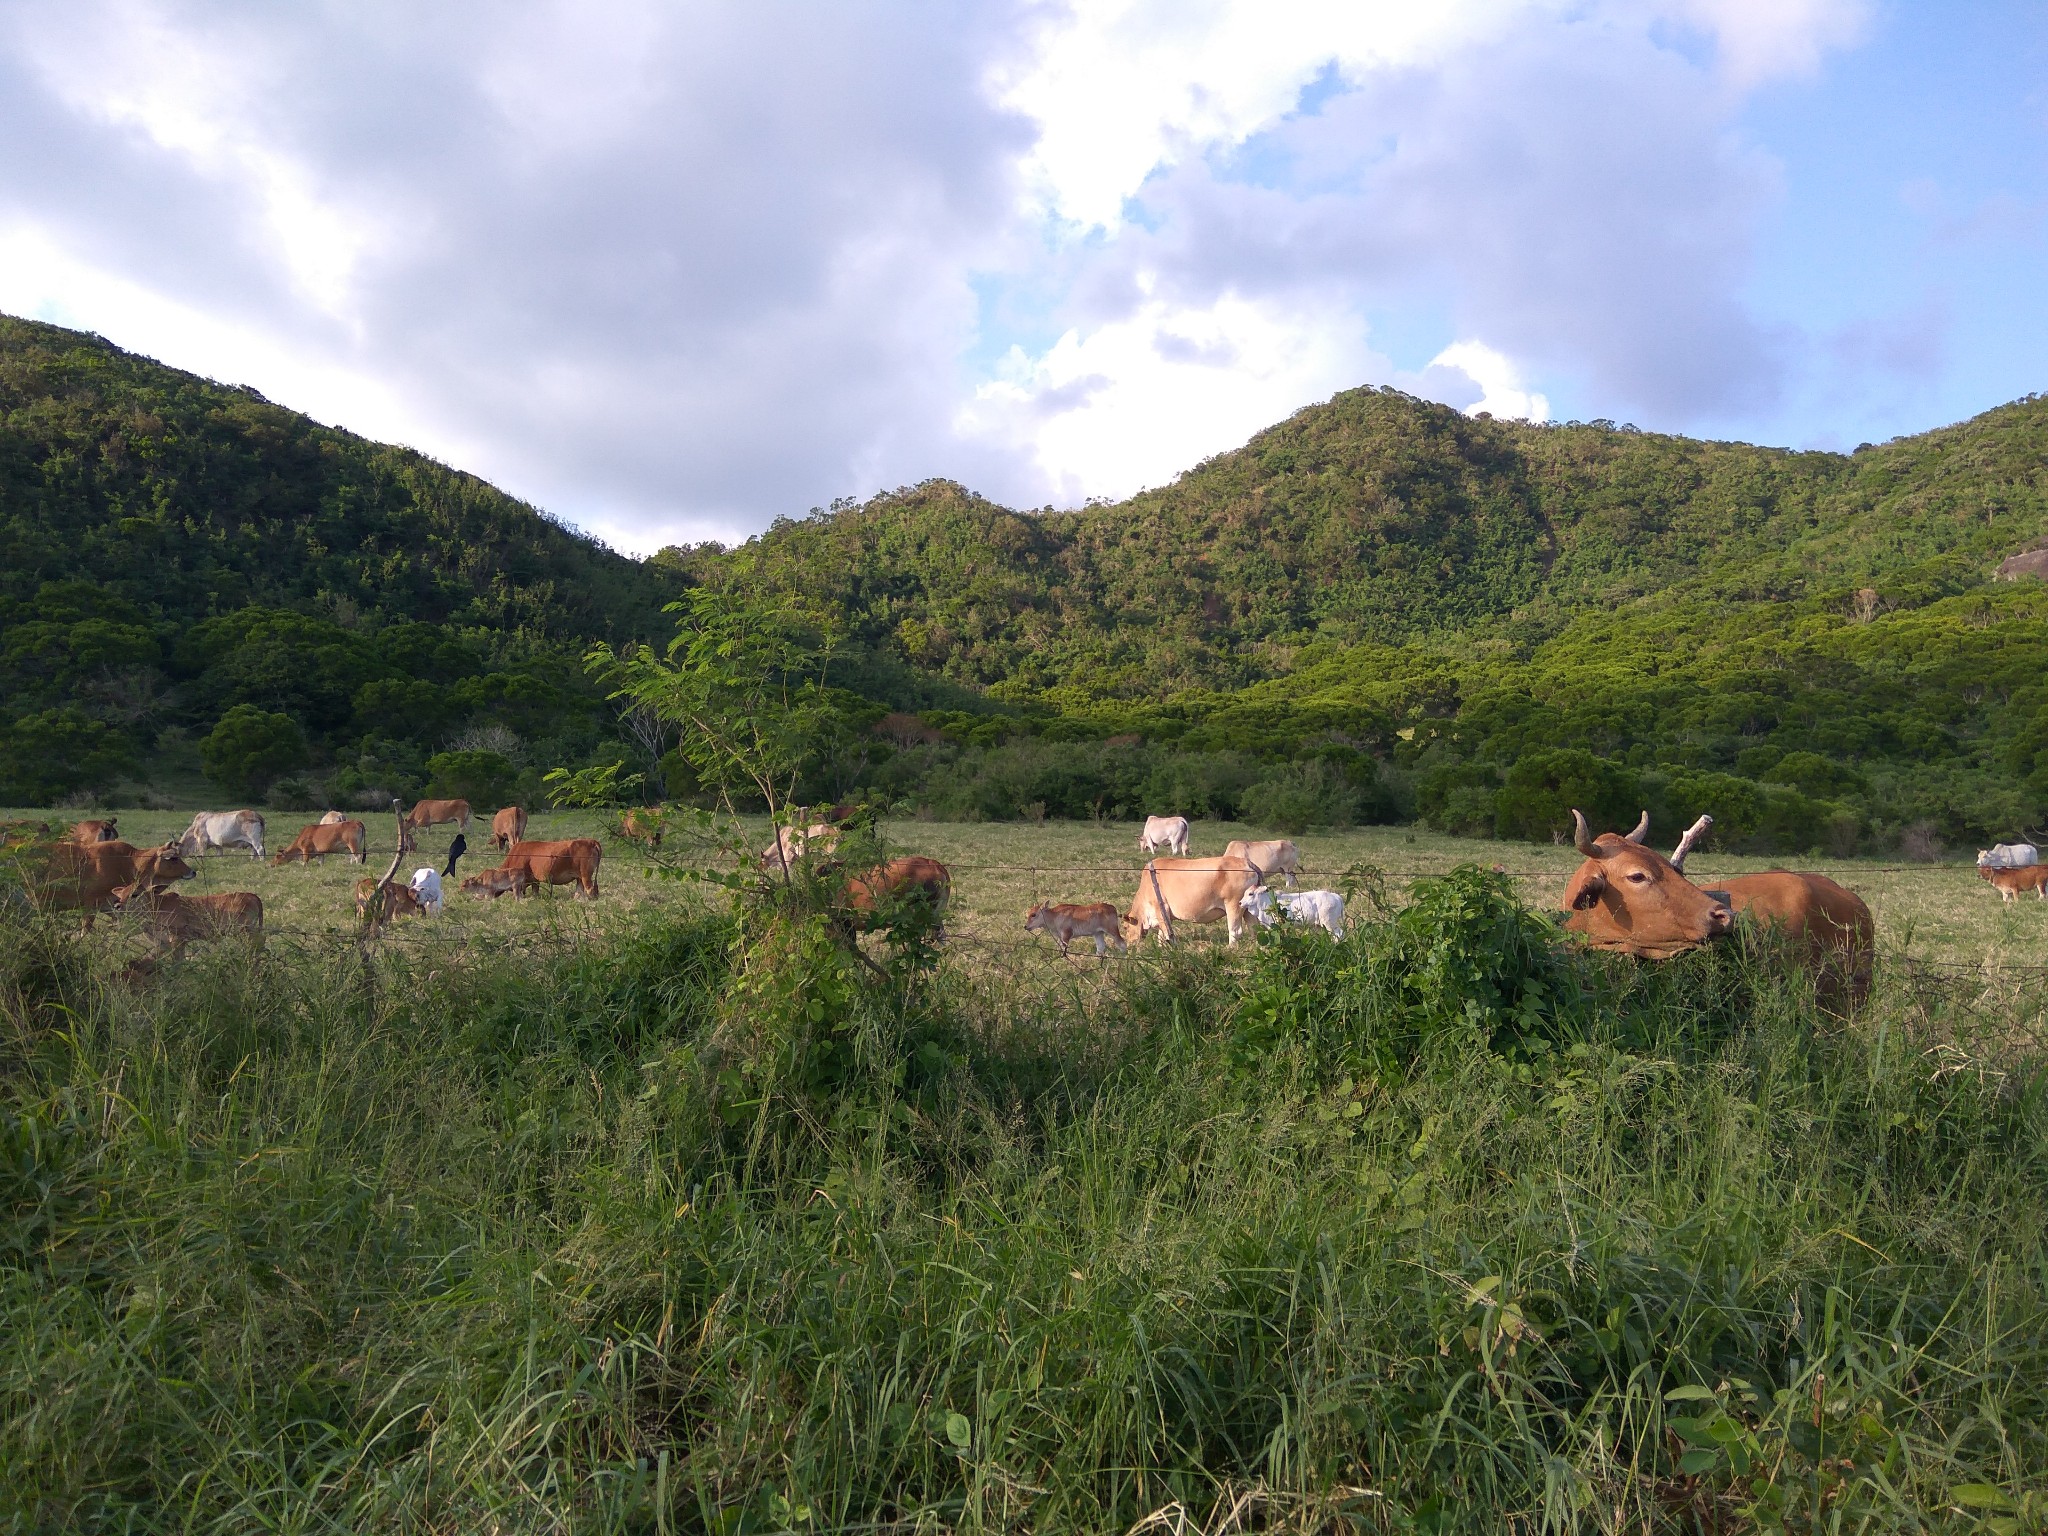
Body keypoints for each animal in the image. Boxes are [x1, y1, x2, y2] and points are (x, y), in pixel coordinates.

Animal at [1122, 856, 1261, 950]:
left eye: (1125, 927)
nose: (1128, 945)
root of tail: (1246, 862)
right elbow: (1162, 934)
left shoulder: (1160, 908)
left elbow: (1166, 932)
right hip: (1248, 909)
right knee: (1254, 928)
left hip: (1233, 905)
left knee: (1235, 930)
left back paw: (1230, 948)